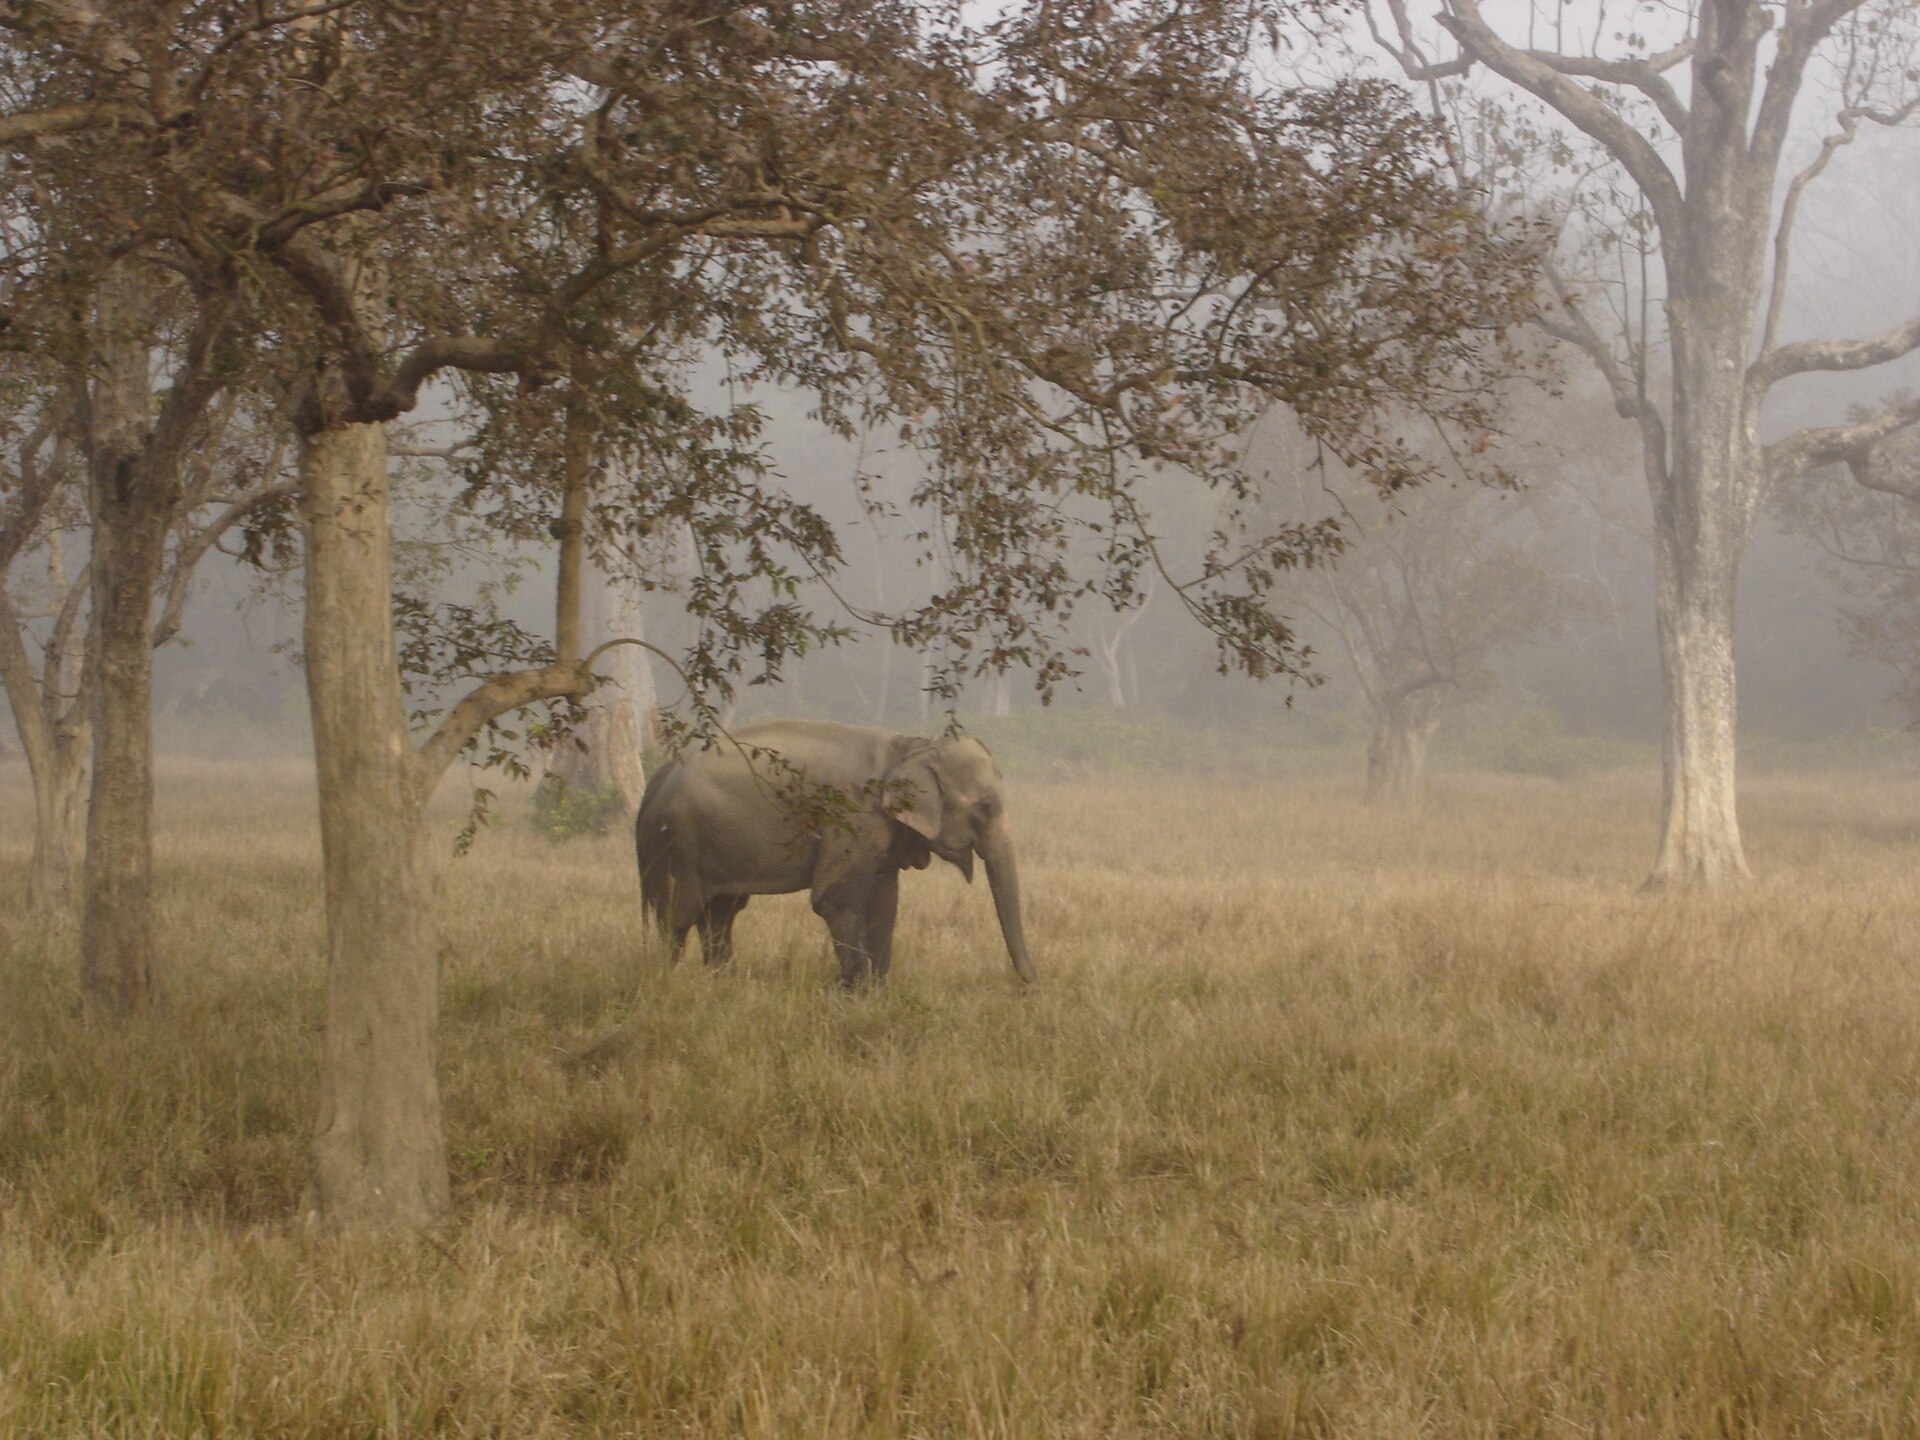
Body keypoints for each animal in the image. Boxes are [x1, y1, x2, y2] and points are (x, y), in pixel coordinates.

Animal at [634, 719, 1034, 986]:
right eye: (984, 806)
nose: (1031, 985)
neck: (910, 747)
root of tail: (657, 782)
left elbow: (885, 901)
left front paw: (877, 991)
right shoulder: (851, 818)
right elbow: (834, 897)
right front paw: (856, 991)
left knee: (721, 912)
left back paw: (722, 983)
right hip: (682, 843)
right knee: (679, 915)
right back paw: (667, 981)